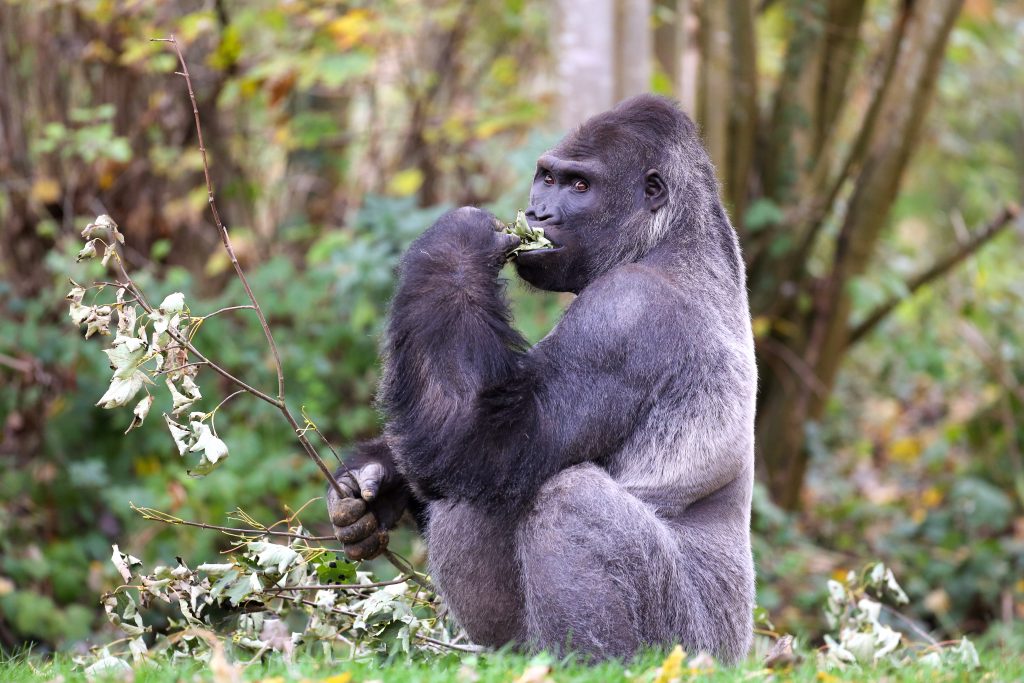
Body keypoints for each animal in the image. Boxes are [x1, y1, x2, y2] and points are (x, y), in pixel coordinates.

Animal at [327, 94, 761, 663]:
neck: (672, 234)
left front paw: (458, 239)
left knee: (566, 498)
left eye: (580, 186)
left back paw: (596, 663)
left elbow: (484, 443)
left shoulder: (626, 315)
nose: (537, 214)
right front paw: (374, 486)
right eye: (548, 178)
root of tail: (740, 647)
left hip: (694, 648)